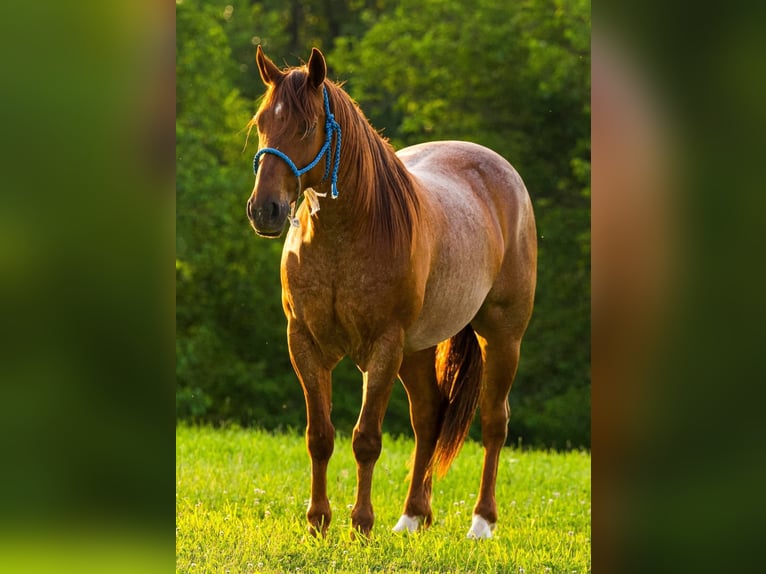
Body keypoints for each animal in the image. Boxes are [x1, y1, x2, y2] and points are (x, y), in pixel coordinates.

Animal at [245, 46, 537, 539]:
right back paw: (412, 517)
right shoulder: (305, 343)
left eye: (304, 126)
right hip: (417, 350)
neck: (344, 237)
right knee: (429, 417)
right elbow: (319, 436)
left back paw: (481, 522)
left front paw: (361, 525)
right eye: (263, 121)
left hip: (501, 336)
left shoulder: (383, 346)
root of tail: (504, 174)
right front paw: (318, 522)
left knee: (494, 422)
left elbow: (366, 439)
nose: (264, 210)